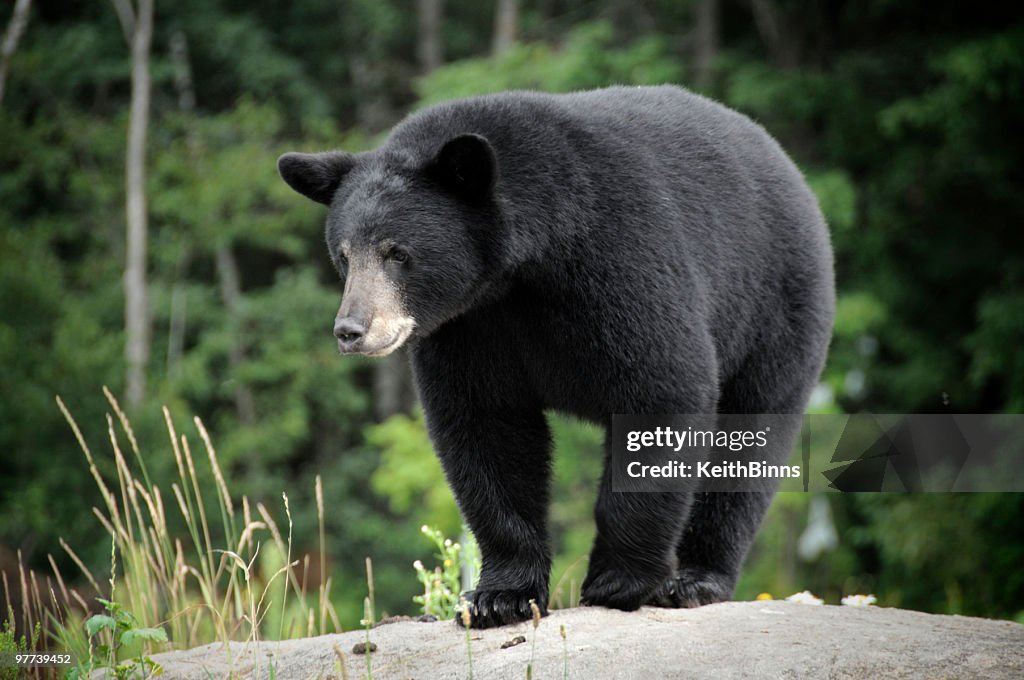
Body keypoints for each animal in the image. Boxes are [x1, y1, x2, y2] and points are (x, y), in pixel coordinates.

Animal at [278, 85, 831, 626]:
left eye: (398, 252)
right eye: (344, 255)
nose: (351, 330)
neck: (524, 267)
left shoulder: (621, 260)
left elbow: (661, 388)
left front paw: (618, 581)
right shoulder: (471, 327)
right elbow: (486, 429)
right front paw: (499, 596)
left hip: (774, 309)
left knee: (750, 439)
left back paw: (697, 579)